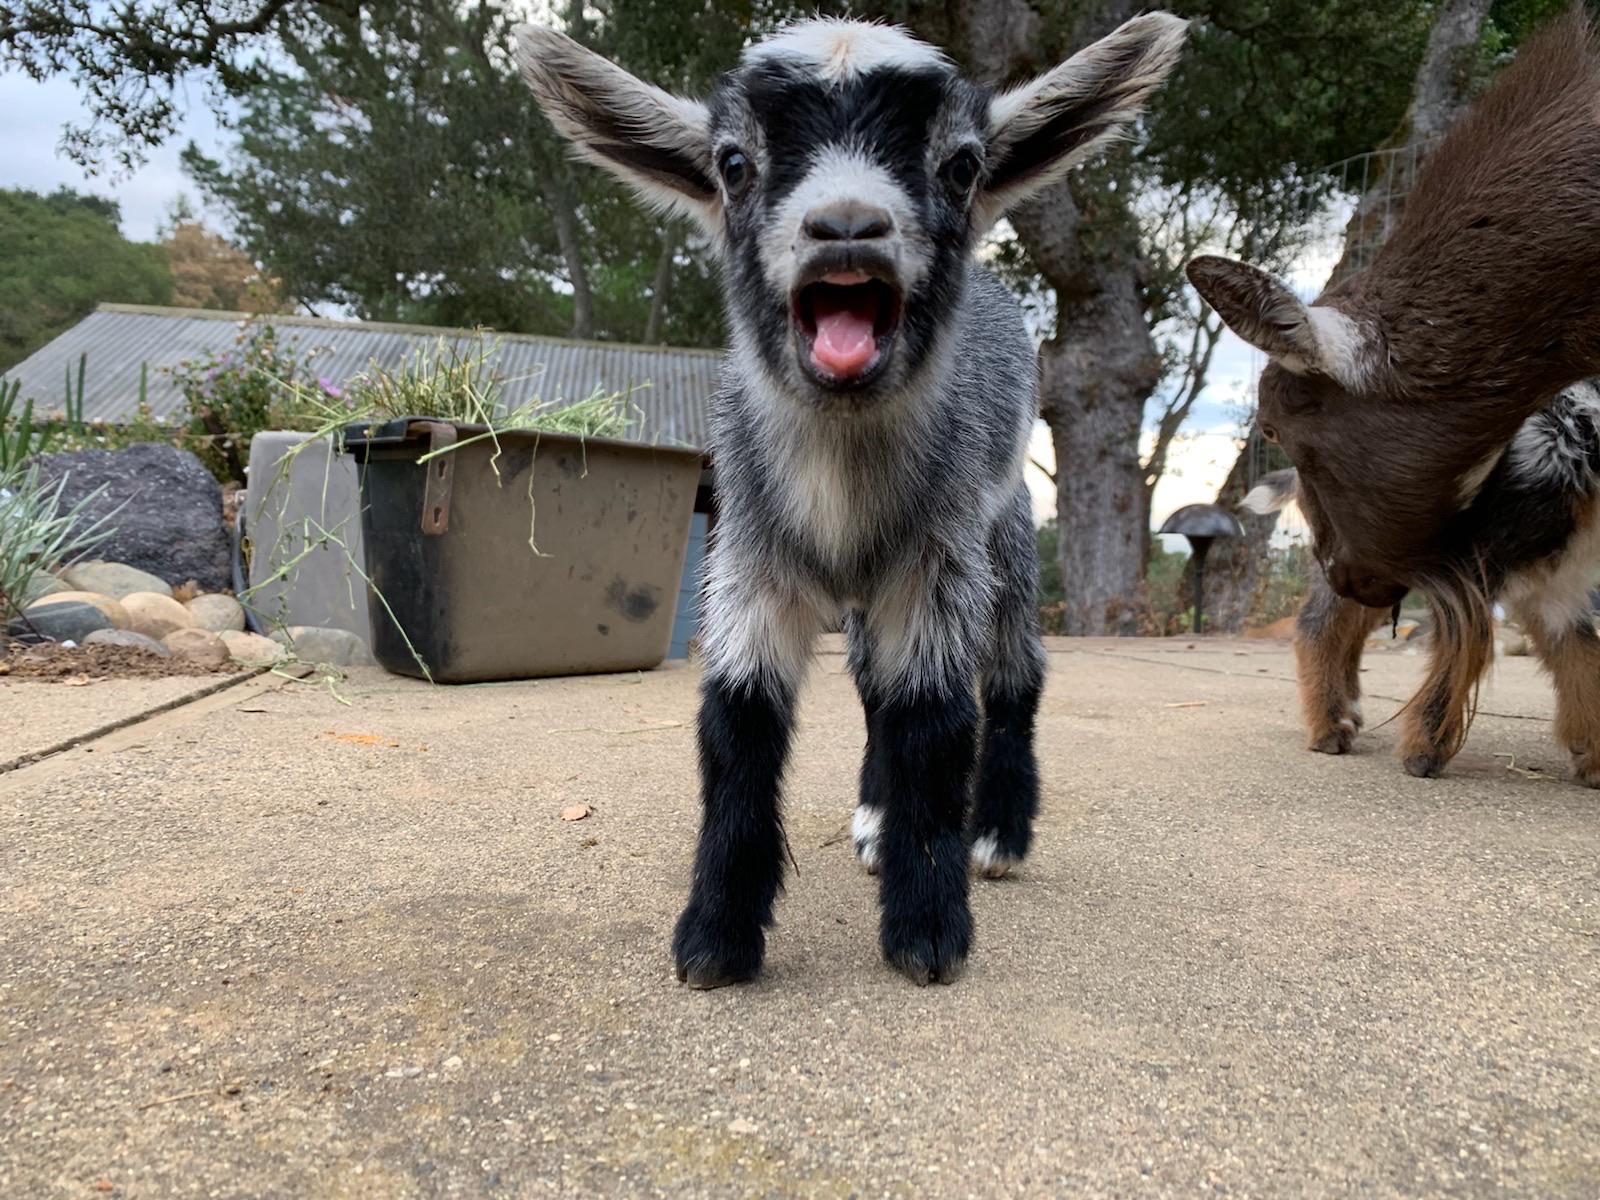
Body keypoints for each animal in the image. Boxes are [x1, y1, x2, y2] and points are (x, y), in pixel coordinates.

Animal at [515, 14, 1188, 985]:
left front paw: (929, 931)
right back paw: (874, 816)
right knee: (875, 688)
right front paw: (715, 936)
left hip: (1007, 538)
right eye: (732, 163)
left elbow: (937, 724)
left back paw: (999, 833)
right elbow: (738, 730)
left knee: (1013, 675)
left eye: (962, 165)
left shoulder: (939, 563)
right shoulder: (746, 564)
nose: (845, 229)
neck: (841, 487)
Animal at [1244, 379, 1600, 782]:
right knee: (1317, 624)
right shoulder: (1474, 569)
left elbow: (1580, 652)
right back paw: (1330, 729)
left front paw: (1592, 758)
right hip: (1359, 555)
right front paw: (1423, 753)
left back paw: (1349, 713)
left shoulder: (1558, 586)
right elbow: (1466, 651)